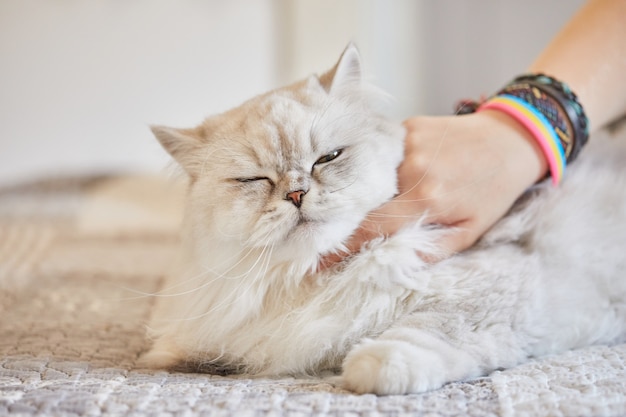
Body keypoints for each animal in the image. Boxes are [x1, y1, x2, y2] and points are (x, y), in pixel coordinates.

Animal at [141, 44, 624, 394]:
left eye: (328, 158)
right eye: (253, 179)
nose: (297, 194)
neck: (314, 280)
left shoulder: (497, 279)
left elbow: (428, 330)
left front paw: (369, 368)